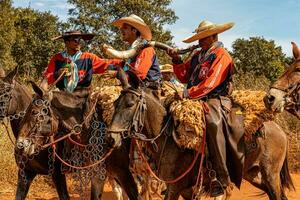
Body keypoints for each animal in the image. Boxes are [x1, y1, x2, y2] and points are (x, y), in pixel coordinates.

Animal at [107, 73, 292, 200]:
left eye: (130, 104)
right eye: (115, 103)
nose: (111, 139)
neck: (167, 138)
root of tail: (278, 129)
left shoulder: (174, 187)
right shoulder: (186, 190)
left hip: (271, 174)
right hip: (253, 174)